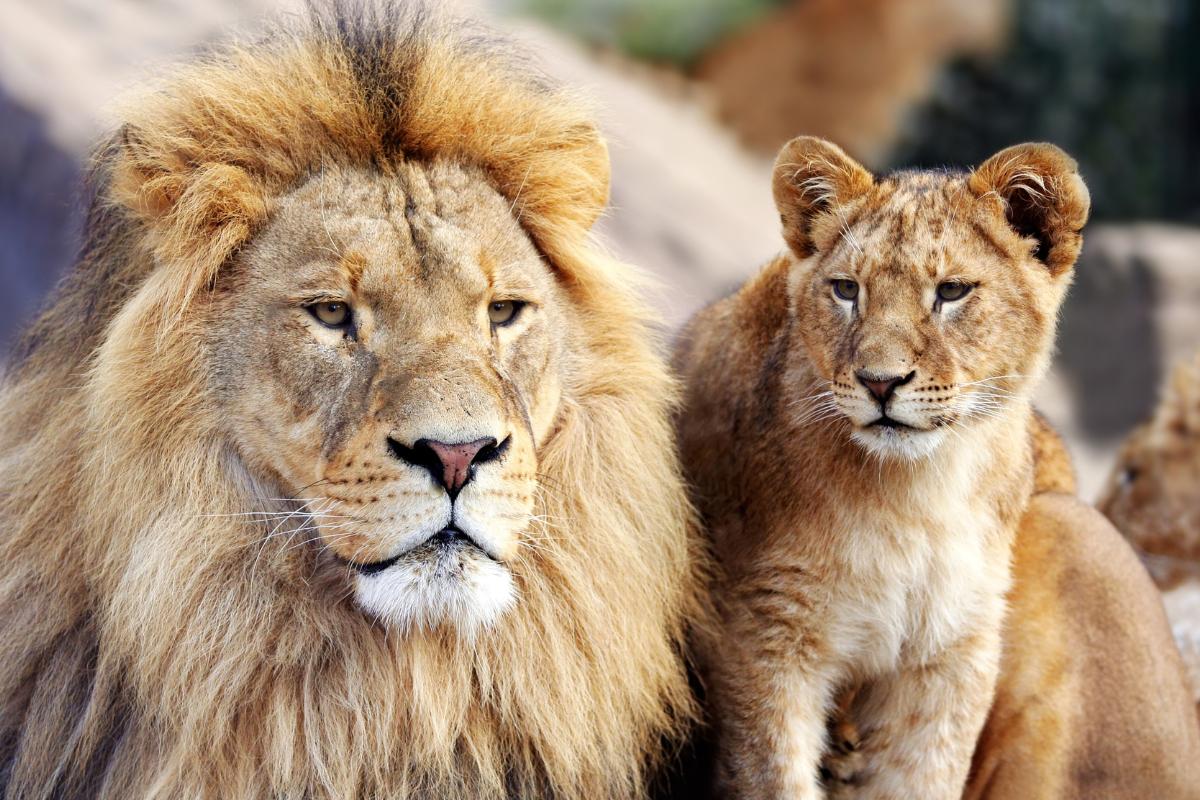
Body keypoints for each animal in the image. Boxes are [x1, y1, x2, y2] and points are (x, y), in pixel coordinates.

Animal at [672, 135, 1200, 799]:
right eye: (846, 290)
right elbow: (774, 774)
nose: (880, 383)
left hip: (1075, 533)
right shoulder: (767, 637)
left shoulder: (952, 658)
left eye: (951, 292)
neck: (917, 496)